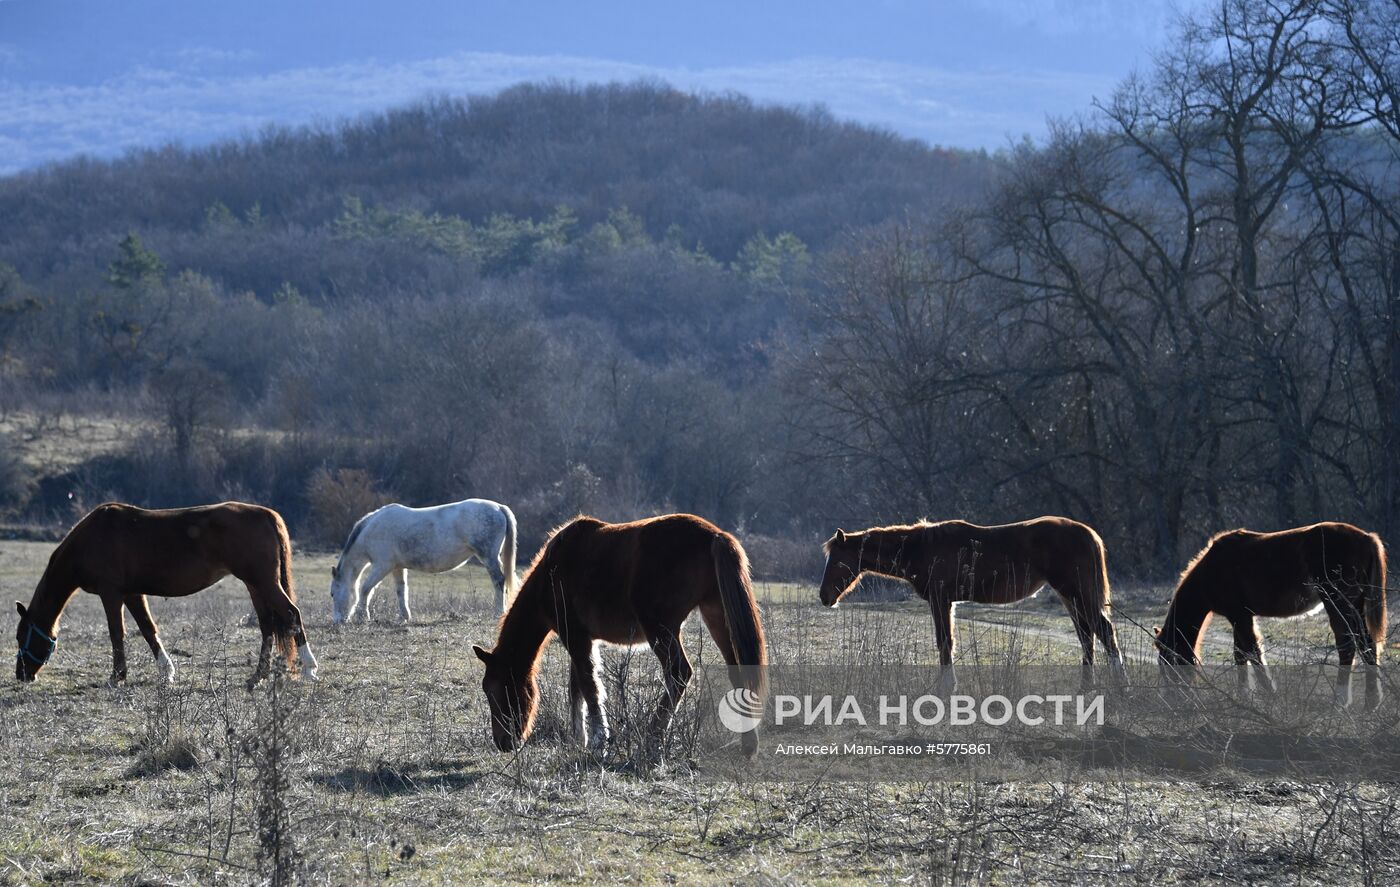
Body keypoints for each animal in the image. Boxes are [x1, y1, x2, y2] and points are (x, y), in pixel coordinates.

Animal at [11, 500, 317, 688]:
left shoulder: (111, 594)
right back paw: (258, 676)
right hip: (255, 585)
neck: (92, 539)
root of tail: (267, 514)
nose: (22, 675)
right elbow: (148, 629)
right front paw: (167, 671)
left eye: (21, 635)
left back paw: (309, 668)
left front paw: (117, 676)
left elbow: (116, 633)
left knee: (291, 614)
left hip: (263, 582)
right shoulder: (132, 594)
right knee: (267, 625)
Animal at [330, 498, 518, 621]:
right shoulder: (397, 567)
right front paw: (404, 616)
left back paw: (497, 612)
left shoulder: (382, 566)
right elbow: (401, 590)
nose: (337, 621)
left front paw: (362, 616)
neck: (373, 530)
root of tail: (498, 507)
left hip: (488, 556)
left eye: (332, 594)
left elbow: (365, 589)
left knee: (499, 581)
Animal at [476, 512, 772, 755]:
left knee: (678, 673)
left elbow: (589, 686)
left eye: (497, 690)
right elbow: (577, 688)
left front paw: (598, 741)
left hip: (661, 629)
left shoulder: (576, 637)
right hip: (716, 616)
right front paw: (579, 739)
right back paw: (748, 744)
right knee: (738, 672)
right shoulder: (582, 637)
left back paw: (653, 739)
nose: (503, 743)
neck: (551, 573)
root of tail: (714, 536)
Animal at [817, 512, 1125, 691]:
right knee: (1087, 636)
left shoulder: (940, 600)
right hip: (1070, 597)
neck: (921, 548)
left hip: (1077, 594)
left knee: (1103, 632)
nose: (824, 596)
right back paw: (1086, 689)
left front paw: (946, 689)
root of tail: (1088, 533)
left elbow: (944, 643)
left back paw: (1121, 686)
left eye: (838, 560)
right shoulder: (947, 602)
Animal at [1153, 520, 1383, 707]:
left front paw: (1268, 693)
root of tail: (1367, 537)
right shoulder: (1240, 616)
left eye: (1168, 661)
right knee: (1367, 644)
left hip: (1337, 603)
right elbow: (1240, 654)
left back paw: (1340, 700)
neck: (1211, 570)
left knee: (1347, 645)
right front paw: (1244, 696)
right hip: (1356, 605)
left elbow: (1252, 653)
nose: (1172, 699)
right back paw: (1371, 702)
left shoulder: (1239, 616)